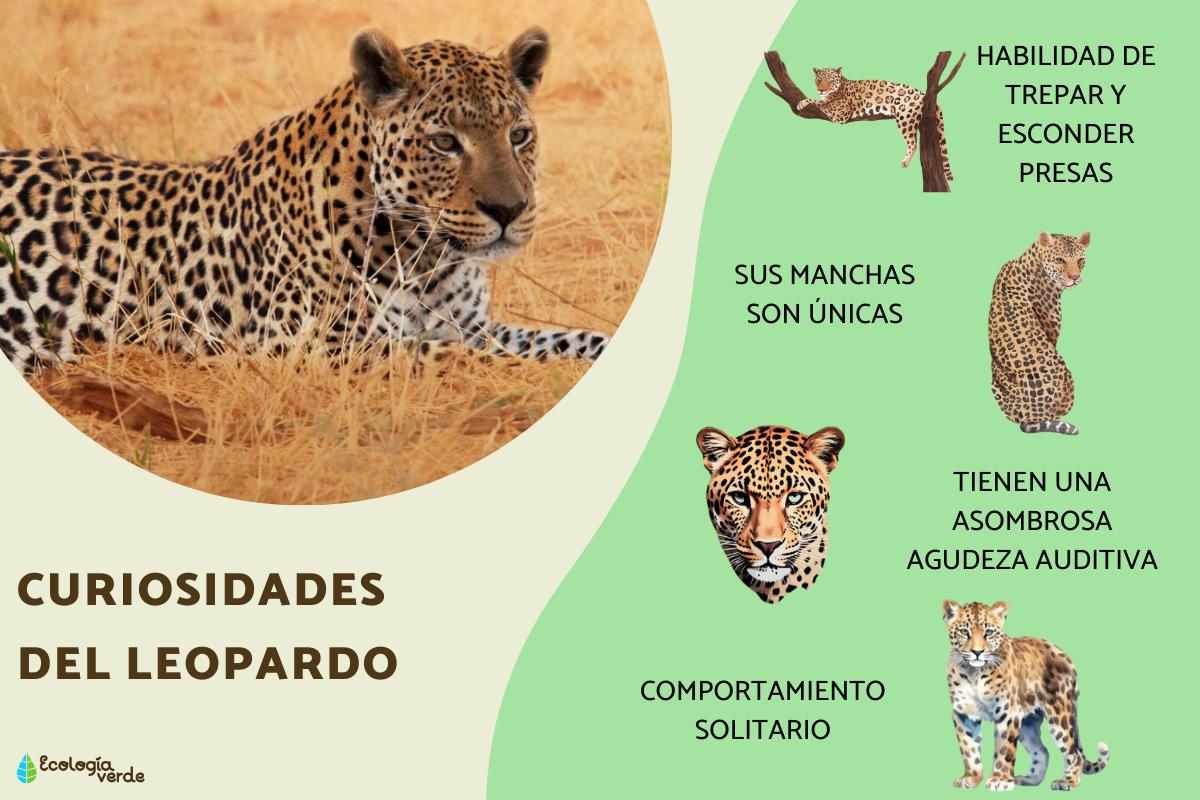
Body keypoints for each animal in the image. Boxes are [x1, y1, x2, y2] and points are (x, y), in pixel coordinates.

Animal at [0, 26, 609, 373]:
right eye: (444, 142)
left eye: (519, 136)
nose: (509, 211)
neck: (428, 260)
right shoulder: (308, 346)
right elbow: (455, 355)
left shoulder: (472, 323)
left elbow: (563, 338)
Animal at [795, 67, 952, 181]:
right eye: (818, 80)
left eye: (830, 81)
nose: (821, 90)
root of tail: (923, 94)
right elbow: (822, 102)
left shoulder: (841, 113)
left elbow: (822, 104)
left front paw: (802, 102)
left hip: (905, 118)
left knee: (913, 143)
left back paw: (905, 161)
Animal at [943, 600, 1109, 791]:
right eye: (964, 631)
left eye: (989, 632)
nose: (977, 652)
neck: (974, 672)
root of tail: (1067, 657)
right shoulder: (963, 714)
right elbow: (969, 749)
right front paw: (971, 778)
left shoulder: (1007, 712)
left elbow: (1004, 749)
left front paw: (1000, 780)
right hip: (1028, 723)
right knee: (1042, 751)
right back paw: (1030, 779)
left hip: (1059, 715)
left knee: (1074, 753)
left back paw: (1067, 782)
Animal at [988, 231, 1091, 435]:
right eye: (1060, 260)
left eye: (1080, 260)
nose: (1075, 277)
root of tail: (1029, 416)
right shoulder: (1051, 328)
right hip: (1069, 377)